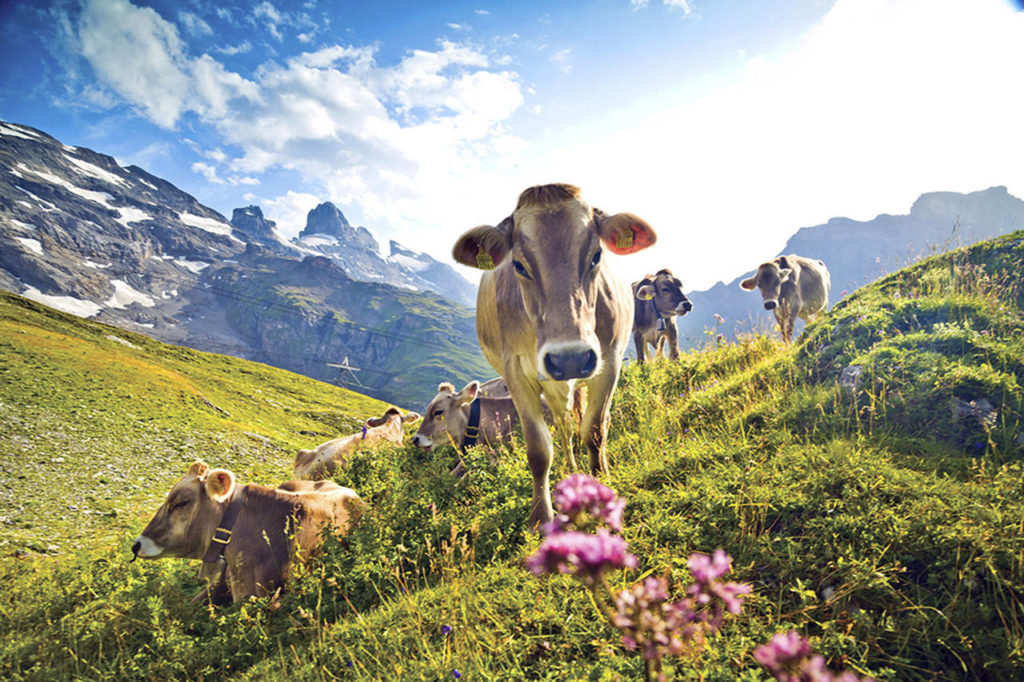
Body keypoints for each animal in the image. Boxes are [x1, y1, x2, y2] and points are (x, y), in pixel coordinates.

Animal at [454, 182, 659, 524]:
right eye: (518, 265)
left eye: (597, 255)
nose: (570, 358)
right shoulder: (515, 372)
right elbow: (539, 449)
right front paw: (541, 516)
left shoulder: (609, 361)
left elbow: (594, 429)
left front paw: (600, 485)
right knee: (564, 426)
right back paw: (572, 469)